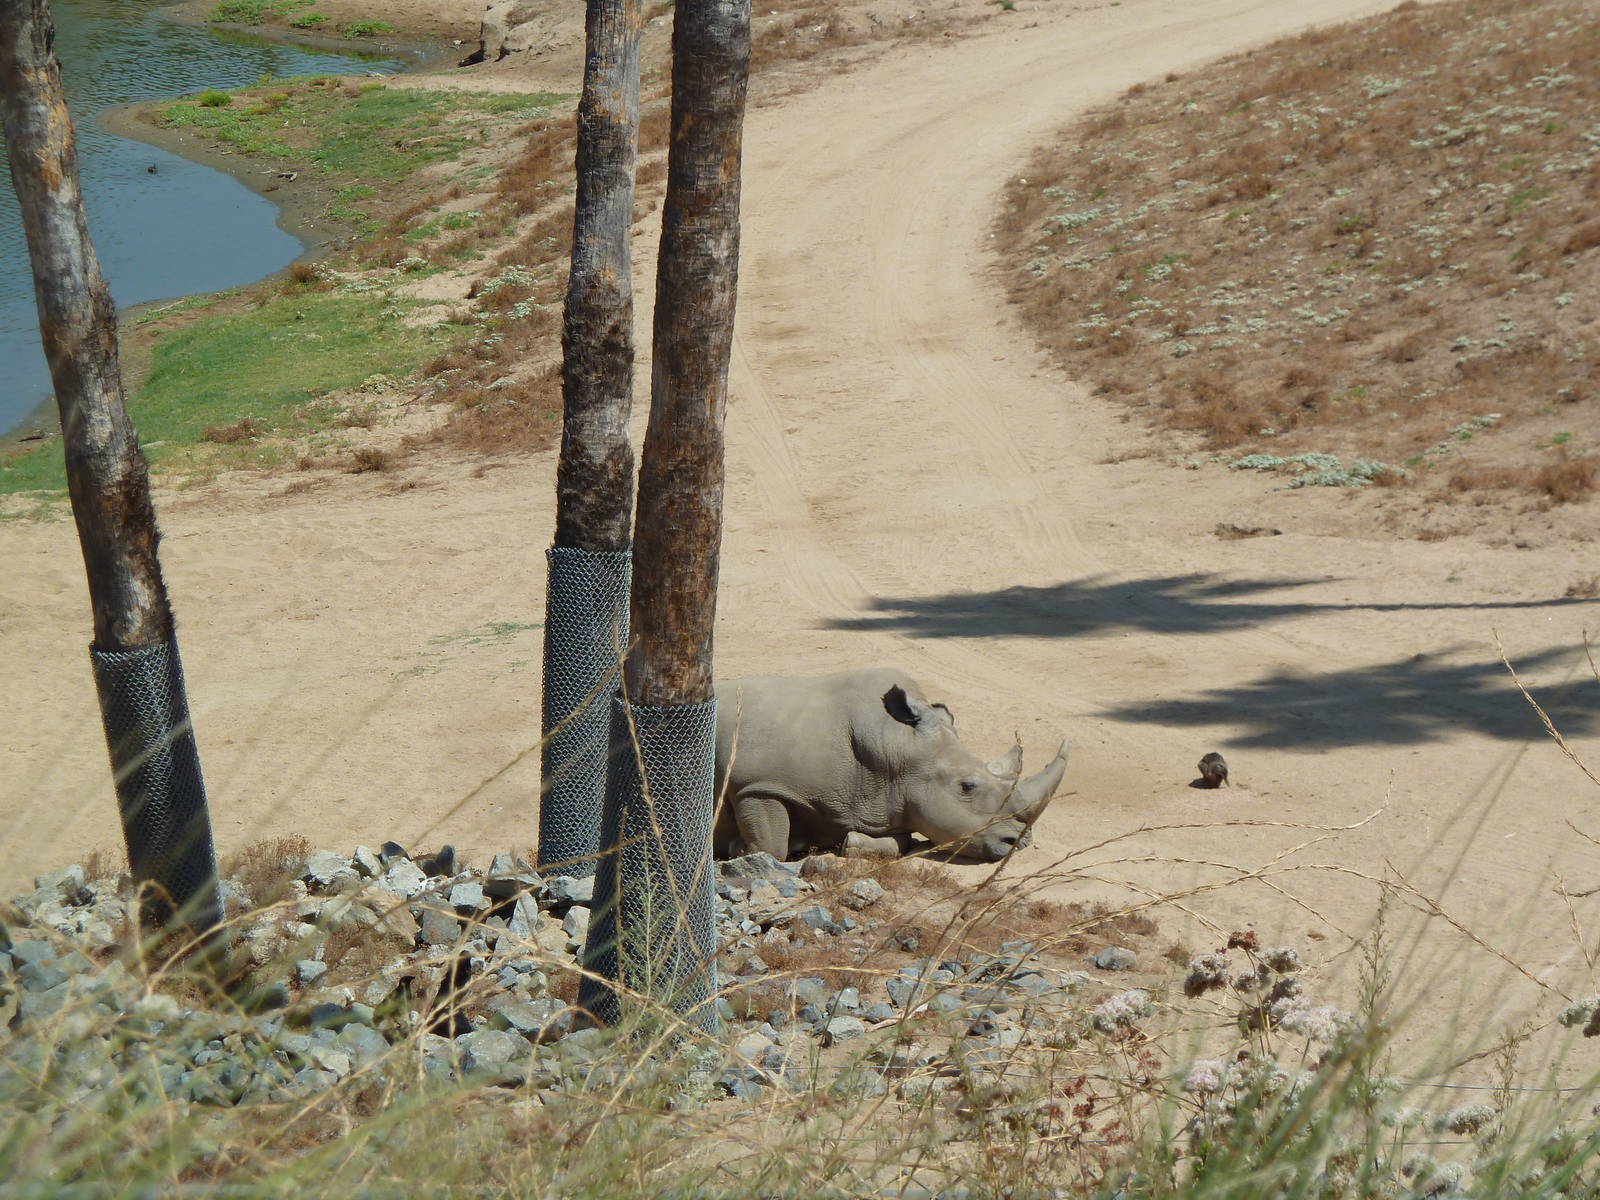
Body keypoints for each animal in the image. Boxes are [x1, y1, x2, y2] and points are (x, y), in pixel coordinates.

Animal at [713, 667, 1068, 861]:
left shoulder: (890, 802)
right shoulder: (757, 785)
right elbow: (770, 846)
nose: (1019, 843)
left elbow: (899, 841)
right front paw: (738, 847)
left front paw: (843, 843)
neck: (892, 751)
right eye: (967, 786)